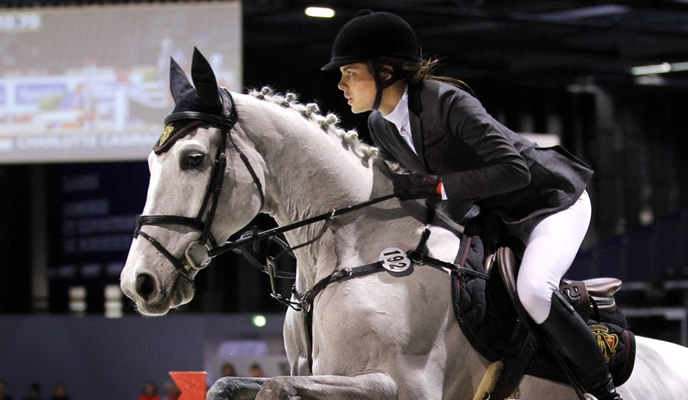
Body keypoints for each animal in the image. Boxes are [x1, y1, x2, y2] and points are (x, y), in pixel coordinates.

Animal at [121, 48, 688, 398]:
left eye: (194, 159)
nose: (138, 283)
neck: (353, 256)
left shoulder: (398, 385)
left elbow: (279, 389)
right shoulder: (311, 373)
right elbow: (230, 384)